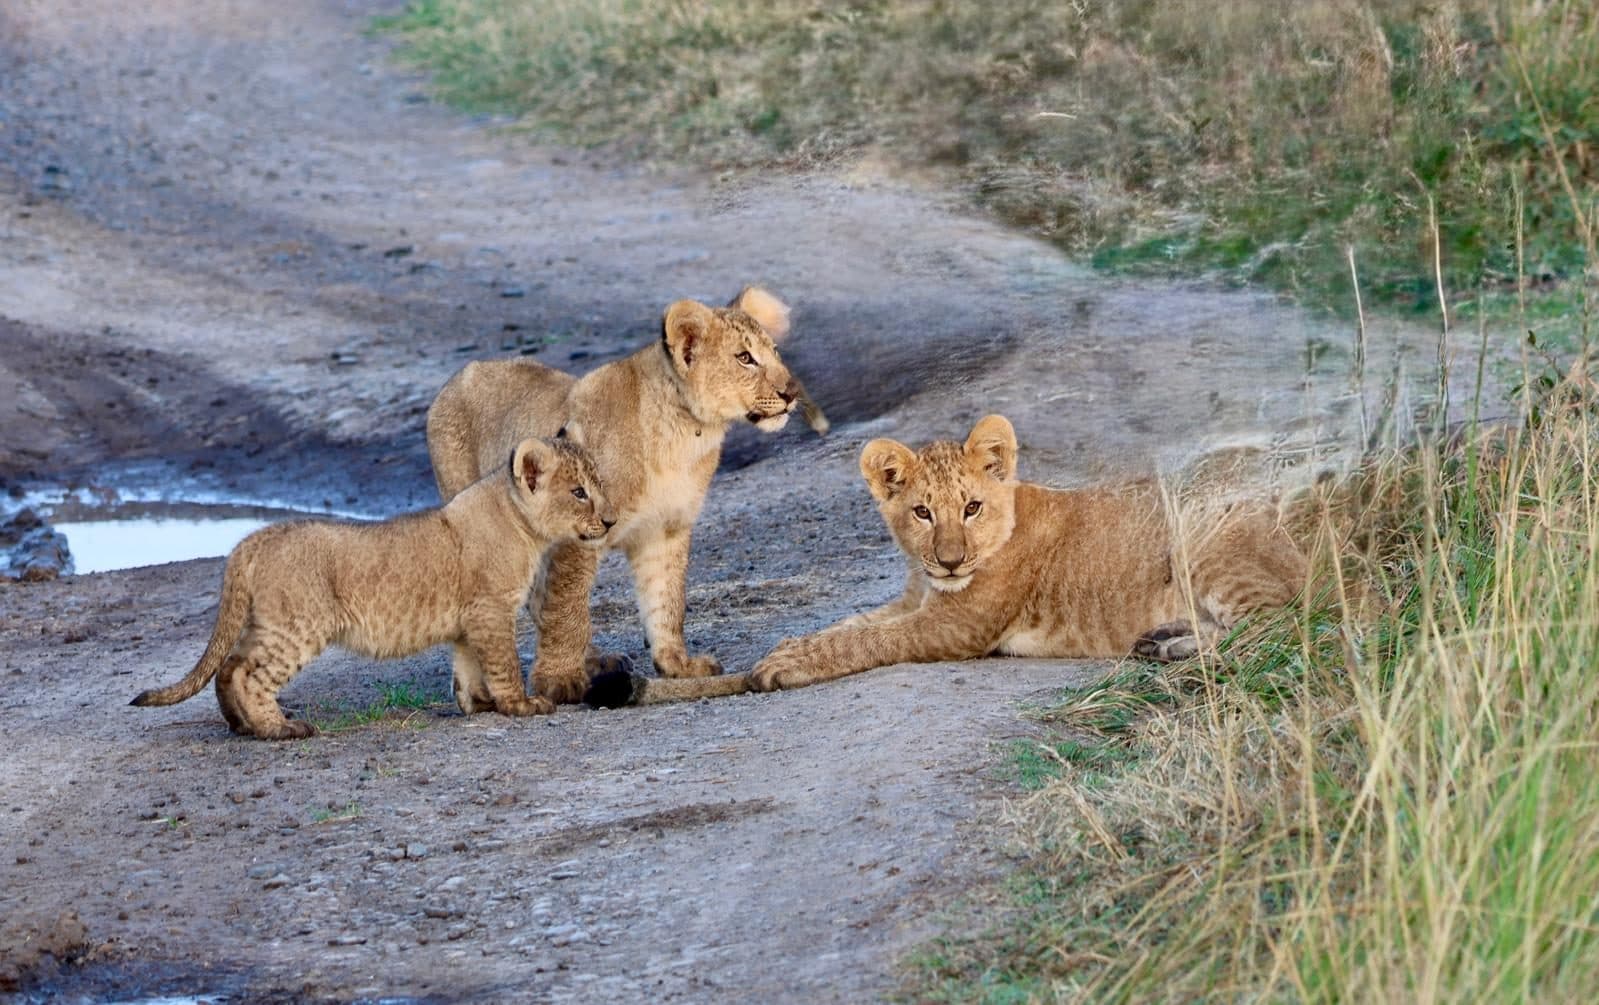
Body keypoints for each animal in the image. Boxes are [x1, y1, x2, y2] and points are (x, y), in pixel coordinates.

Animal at [130, 438, 614, 739]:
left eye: (599, 486)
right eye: (578, 492)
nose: (610, 521)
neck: (519, 521)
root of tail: (252, 541)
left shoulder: (469, 620)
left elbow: (468, 665)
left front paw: (478, 704)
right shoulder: (491, 611)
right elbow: (503, 664)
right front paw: (519, 705)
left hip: (266, 622)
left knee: (229, 666)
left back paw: (241, 724)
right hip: (298, 626)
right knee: (251, 675)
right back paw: (278, 730)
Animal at [425, 286, 826, 708]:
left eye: (775, 351)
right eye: (744, 358)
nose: (791, 393)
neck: (684, 435)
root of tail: (455, 379)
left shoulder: (665, 531)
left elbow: (666, 600)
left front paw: (676, 664)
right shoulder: (578, 531)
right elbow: (567, 609)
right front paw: (558, 681)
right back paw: (479, 693)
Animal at [583, 414, 1306, 705]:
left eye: (972, 507)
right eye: (923, 513)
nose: (953, 561)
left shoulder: (954, 624)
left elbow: (869, 641)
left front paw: (785, 663)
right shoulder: (915, 598)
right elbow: (851, 625)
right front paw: (790, 646)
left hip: (1206, 538)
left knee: (1281, 623)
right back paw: (1163, 641)